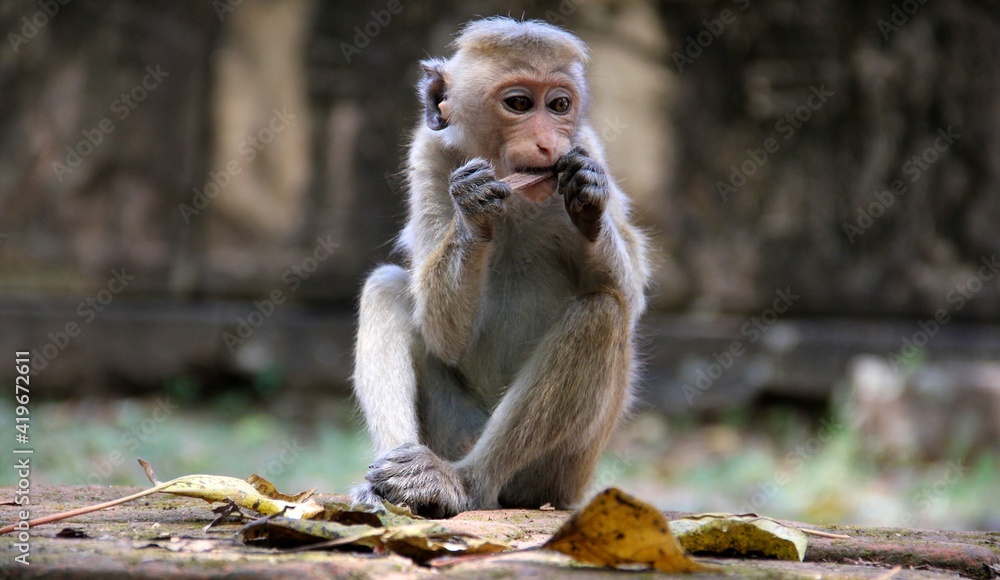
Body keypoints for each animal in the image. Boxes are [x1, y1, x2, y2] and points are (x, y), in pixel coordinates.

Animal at [350, 17, 648, 516]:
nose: (549, 143)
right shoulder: (428, 155)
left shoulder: (587, 146)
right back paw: (394, 482)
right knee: (386, 286)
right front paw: (473, 211)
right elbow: (442, 335)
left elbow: (630, 293)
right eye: (519, 104)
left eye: (560, 105)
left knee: (602, 313)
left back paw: (468, 481)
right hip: (454, 431)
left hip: (558, 474)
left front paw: (589, 200)